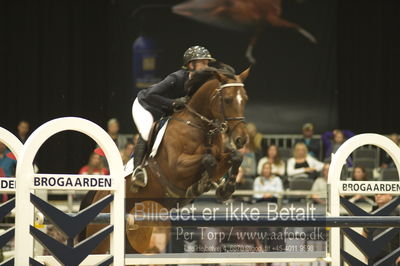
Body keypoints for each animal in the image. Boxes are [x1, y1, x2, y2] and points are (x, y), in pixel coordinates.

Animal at [79, 66, 250, 254]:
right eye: (227, 100)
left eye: (245, 99)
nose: (242, 139)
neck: (199, 126)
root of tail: (97, 196)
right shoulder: (176, 168)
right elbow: (208, 159)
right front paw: (203, 184)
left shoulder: (220, 157)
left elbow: (234, 157)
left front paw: (225, 188)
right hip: (100, 241)